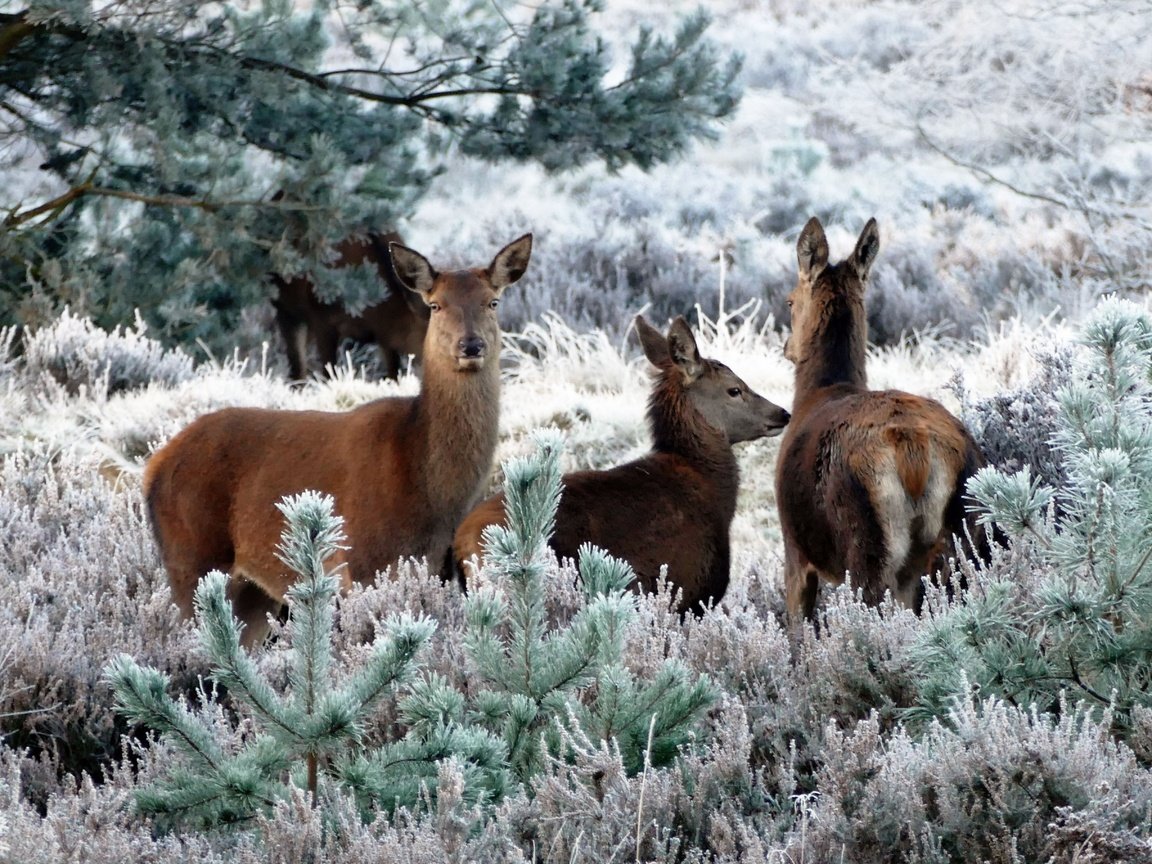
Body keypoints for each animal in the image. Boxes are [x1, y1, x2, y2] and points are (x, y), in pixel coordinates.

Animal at [267, 231, 430, 380]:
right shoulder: (321, 319)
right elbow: (329, 373)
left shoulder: (385, 336)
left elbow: (393, 375)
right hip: (287, 308)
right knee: (297, 366)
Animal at [778, 215, 986, 622]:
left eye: (790, 300)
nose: (786, 347)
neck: (819, 392)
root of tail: (915, 451)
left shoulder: (794, 548)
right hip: (964, 532)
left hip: (867, 538)